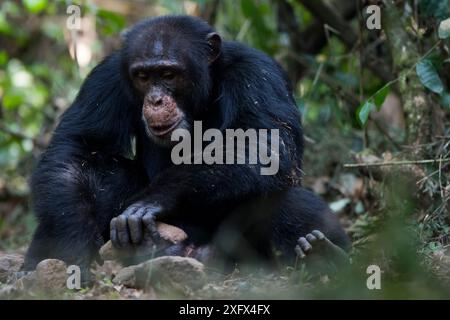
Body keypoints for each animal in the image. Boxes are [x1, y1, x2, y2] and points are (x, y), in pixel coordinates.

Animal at [22, 15, 350, 282]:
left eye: (169, 75)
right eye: (143, 76)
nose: (155, 100)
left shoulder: (258, 74)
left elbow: (261, 144)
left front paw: (154, 199)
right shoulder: (107, 77)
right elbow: (78, 147)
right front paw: (73, 249)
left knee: (283, 198)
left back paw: (328, 256)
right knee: (106, 172)